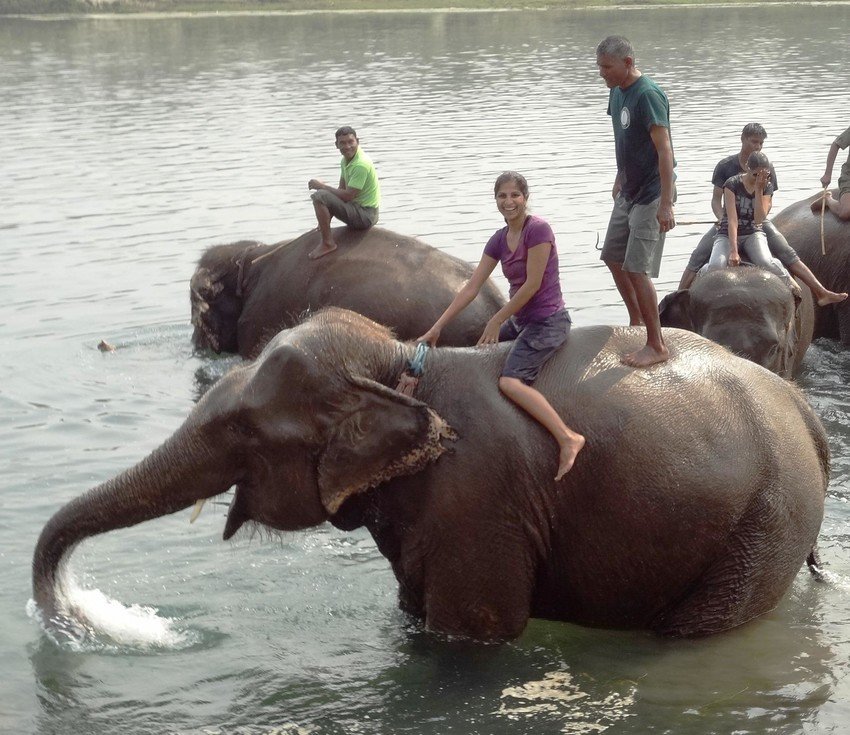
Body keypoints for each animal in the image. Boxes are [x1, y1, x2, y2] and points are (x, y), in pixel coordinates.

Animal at [31, 308, 820, 640]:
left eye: (241, 430)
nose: (77, 611)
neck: (402, 364)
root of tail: (802, 408)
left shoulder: (480, 501)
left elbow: (475, 633)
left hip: (765, 523)